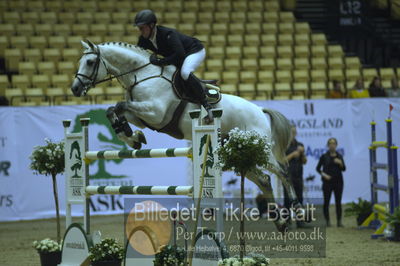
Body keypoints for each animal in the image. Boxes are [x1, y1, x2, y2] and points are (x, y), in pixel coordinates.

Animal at [71, 40, 304, 231]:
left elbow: (119, 105)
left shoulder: (155, 112)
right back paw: (280, 221)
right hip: (238, 154)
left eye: (90, 62)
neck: (142, 76)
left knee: (282, 171)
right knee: (264, 180)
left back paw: (297, 210)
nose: (74, 89)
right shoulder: (142, 115)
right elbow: (114, 110)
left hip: (261, 151)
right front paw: (132, 137)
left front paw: (131, 136)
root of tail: (260, 110)